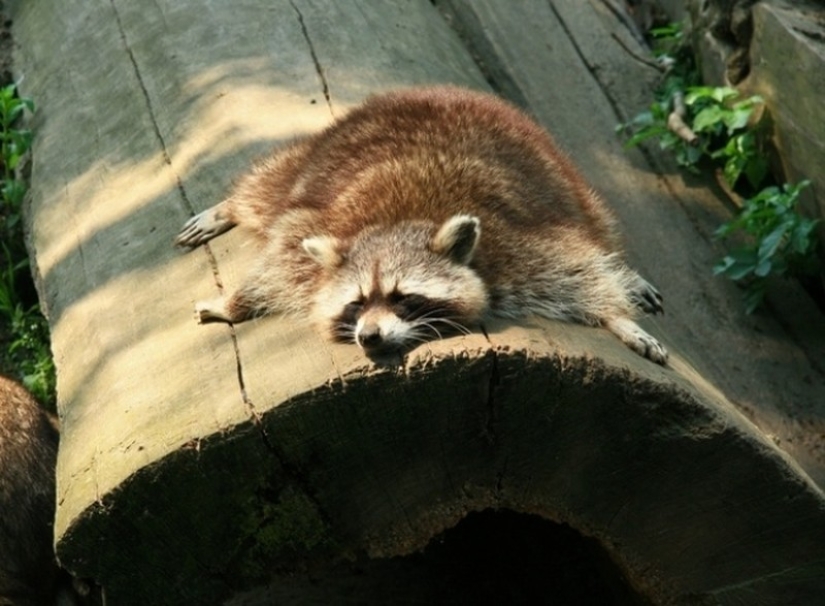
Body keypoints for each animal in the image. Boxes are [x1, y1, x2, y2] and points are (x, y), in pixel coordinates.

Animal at [175, 86, 668, 366]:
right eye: (356, 304)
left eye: (402, 297)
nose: (369, 336)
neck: (395, 224)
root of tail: (446, 90)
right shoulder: (310, 231)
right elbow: (277, 262)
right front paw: (234, 302)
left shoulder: (518, 248)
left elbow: (578, 271)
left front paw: (619, 318)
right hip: (318, 158)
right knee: (269, 188)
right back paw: (230, 207)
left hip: (568, 183)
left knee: (598, 229)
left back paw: (626, 270)